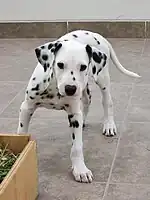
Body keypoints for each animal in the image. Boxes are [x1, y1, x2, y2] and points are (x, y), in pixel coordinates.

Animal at [17, 29, 141, 183]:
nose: (70, 88)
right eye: (60, 64)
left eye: (82, 66)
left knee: (107, 102)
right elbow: (21, 133)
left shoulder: (74, 115)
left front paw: (80, 170)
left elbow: (76, 147)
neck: (54, 87)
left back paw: (109, 125)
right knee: (87, 100)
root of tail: (98, 36)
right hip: (84, 87)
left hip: (102, 79)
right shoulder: (26, 107)